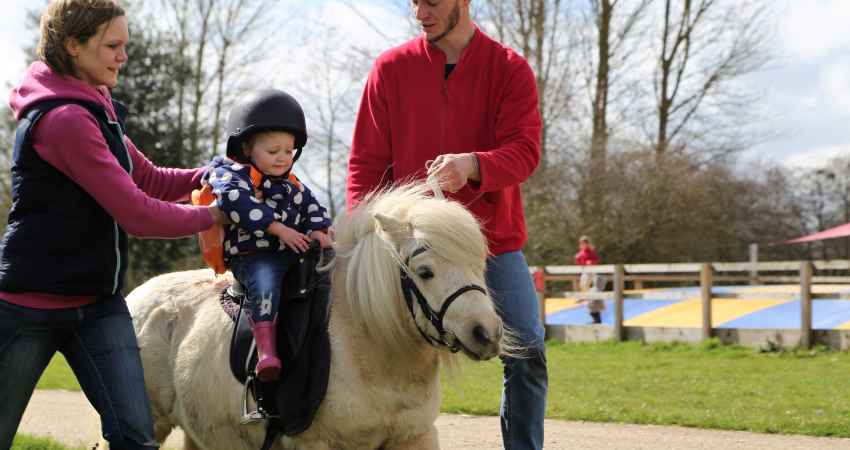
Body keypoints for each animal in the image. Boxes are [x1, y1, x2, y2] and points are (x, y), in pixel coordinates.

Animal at [125, 182, 506, 450]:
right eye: (425, 272)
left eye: (480, 265)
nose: (486, 334)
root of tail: (137, 297)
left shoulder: (415, 437)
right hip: (154, 422)